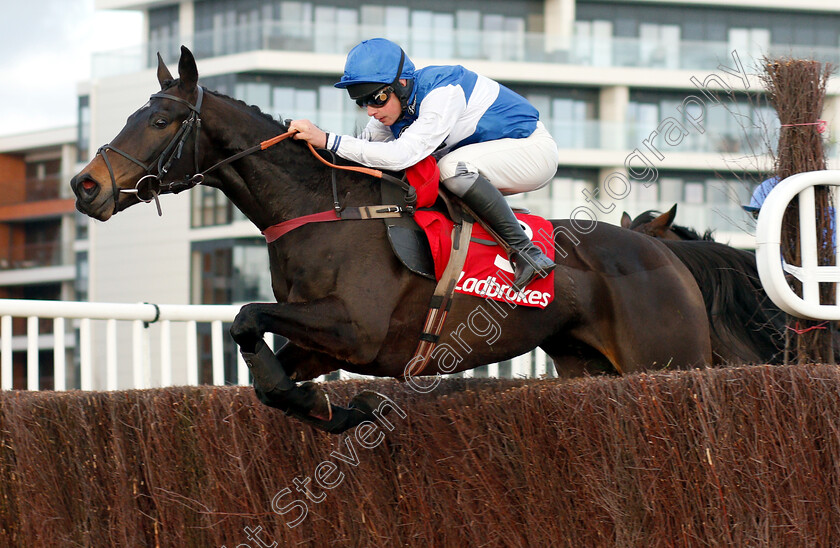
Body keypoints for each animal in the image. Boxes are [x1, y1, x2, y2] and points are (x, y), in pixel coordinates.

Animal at [70, 46, 708, 432]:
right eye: (132, 115)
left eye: (160, 121)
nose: (84, 185)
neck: (323, 211)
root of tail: (663, 252)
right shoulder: (323, 343)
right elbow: (266, 377)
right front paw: (335, 410)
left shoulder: (357, 329)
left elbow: (246, 316)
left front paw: (345, 410)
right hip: (586, 365)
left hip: (668, 360)